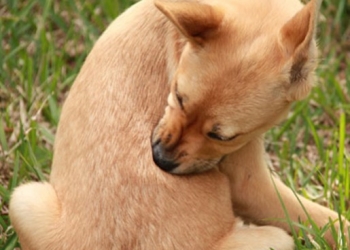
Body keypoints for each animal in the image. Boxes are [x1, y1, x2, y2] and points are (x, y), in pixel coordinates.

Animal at [8, 0, 348, 250]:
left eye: (221, 136)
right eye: (178, 96)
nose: (159, 160)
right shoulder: (249, 182)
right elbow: (322, 217)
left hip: (24, 200)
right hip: (277, 240)